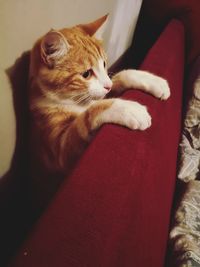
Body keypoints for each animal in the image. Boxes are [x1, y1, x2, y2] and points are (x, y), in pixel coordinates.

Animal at [28, 13, 170, 208]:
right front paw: (129, 109)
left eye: (104, 64)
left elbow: (120, 76)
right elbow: (92, 112)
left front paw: (154, 81)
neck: (74, 102)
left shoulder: (104, 90)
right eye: (86, 74)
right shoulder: (60, 150)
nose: (107, 86)